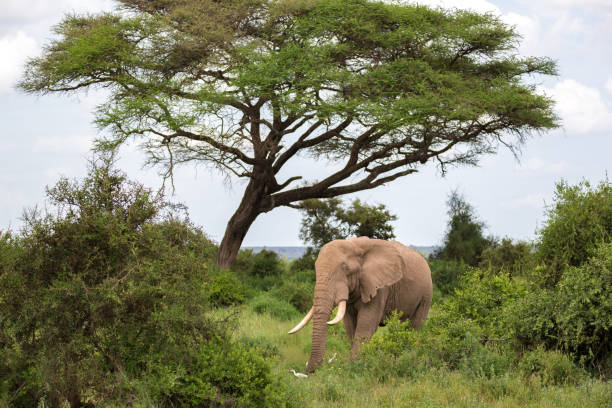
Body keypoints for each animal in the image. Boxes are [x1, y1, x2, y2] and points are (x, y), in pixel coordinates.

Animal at [290, 236, 432, 372]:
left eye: (345, 268)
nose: (308, 370)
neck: (355, 244)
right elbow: (350, 326)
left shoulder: (379, 288)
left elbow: (365, 325)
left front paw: (354, 367)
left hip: (426, 295)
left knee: (414, 326)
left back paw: (408, 358)